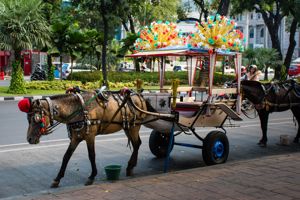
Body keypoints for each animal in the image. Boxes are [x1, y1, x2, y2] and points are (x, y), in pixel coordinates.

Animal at [18, 88, 149, 188]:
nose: (29, 139)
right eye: (28, 119)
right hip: (128, 128)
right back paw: (131, 166)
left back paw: (130, 166)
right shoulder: (76, 138)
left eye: (36, 119)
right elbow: (66, 156)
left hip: (134, 127)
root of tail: (139, 96)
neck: (78, 109)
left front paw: (92, 176)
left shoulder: (90, 136)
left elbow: (91, 155)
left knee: (137, 144)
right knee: (137, 144)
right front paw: (57, 179)